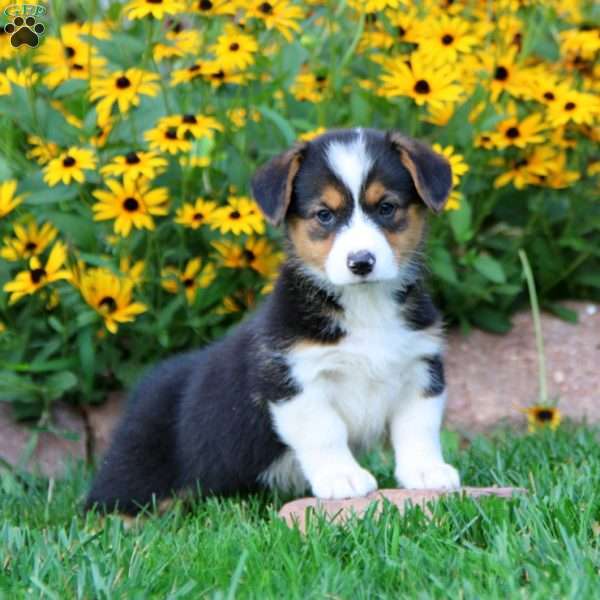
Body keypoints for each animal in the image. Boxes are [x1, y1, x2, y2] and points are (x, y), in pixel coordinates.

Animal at [85, 129, 460, 512]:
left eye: (386, 208)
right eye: (324, 215)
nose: (361, 262)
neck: (365, 305)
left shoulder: (420, 368)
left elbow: (418, 427)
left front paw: (427, 472)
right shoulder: (294, 379)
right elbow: (326, 431)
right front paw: (343, 478)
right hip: (138, 472)